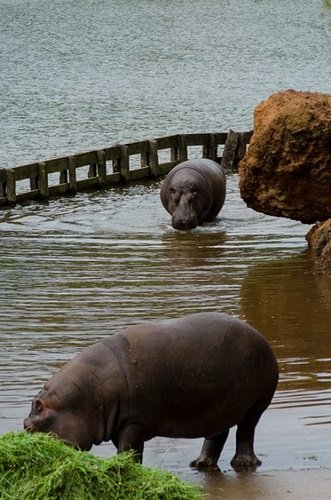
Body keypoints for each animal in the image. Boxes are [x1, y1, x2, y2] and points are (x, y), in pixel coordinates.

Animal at [23, 312, 278, 472]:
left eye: (29, 427)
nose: (24, 425)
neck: (88, 398)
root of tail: (261, 336)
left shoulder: (134, 423)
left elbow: (129, 450)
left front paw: (123, 469)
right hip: (219, 408)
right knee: (217, 435)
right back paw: (200, 464)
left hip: (256, 404)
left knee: (246, 431)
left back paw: (243, 464)